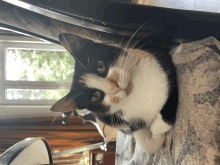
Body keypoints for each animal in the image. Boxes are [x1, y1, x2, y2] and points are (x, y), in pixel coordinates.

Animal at [51, 32, 179, 154]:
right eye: (95, 96)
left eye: (100, 67)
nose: (114, 87)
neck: (134, 92)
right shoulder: (125, 119)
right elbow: (144, 141)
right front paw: (155, 135)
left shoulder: (158, 60)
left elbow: (171, 96)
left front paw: (158, 127)